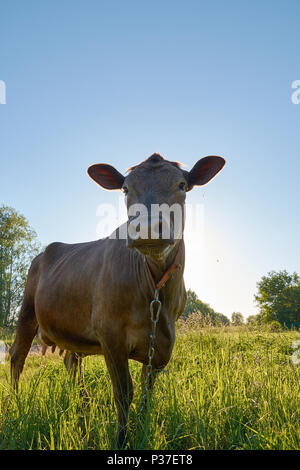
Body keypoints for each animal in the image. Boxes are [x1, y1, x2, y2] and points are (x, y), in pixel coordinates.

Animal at [9, 152, 225, 446]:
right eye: (125, 189)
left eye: (182, 185)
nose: (147, 227)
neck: (154, 292)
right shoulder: (110, 334)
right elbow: (124, 393)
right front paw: (121, 440)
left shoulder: (162, 343)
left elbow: (146, 395)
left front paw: (141, 432)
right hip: (28, 310)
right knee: (17, 357)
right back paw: (16, 405)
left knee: (72, 364)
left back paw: (82, 412)